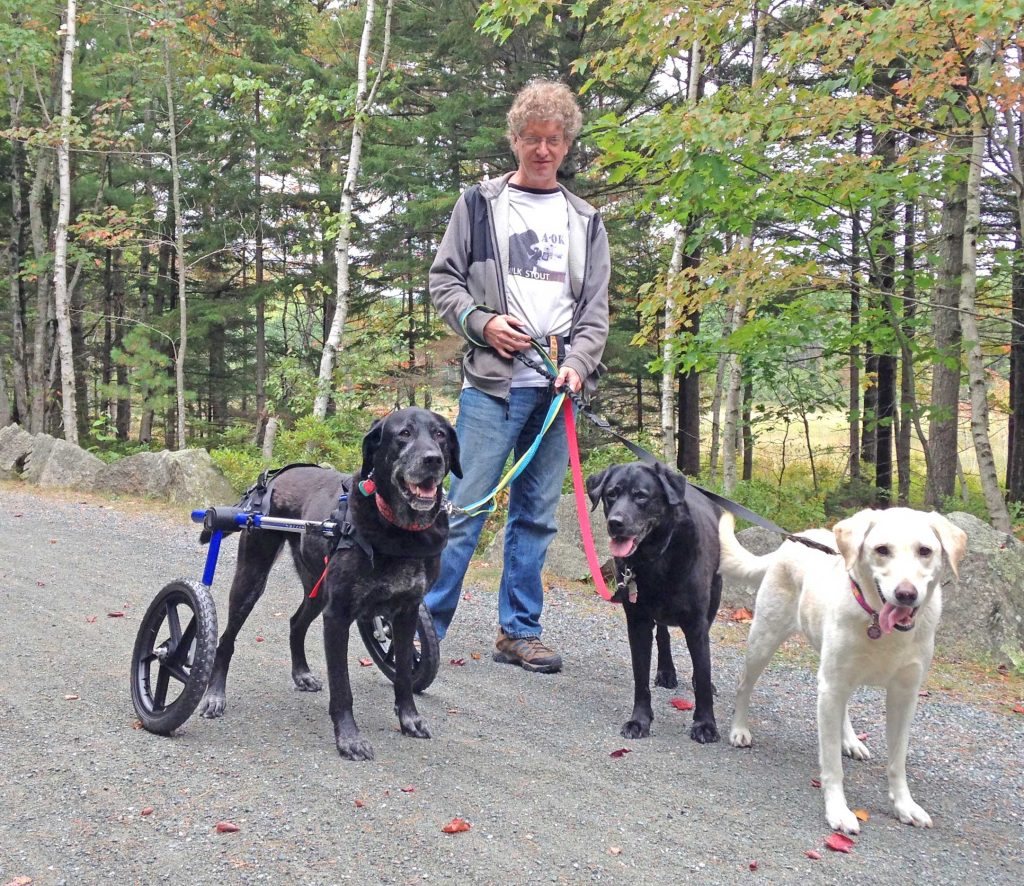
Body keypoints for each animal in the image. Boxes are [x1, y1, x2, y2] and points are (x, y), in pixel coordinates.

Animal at [196, 407, 460, 762]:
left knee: (295, 622)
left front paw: (409, 718)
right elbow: (342, 687)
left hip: (317, 589)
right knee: (226, 639)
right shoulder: (338, 616)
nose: (432, 459)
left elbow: (404, 673)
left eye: (440, 435)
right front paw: (349, 738)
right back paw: (214, 694)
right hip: (252, 578)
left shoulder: (406, 612)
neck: (398, 531)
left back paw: (301, 672)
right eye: (403, 433)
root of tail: (273, 478)